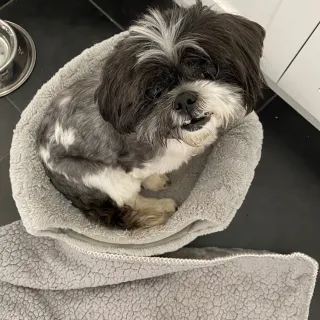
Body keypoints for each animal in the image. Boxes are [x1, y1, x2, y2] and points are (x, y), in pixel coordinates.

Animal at [36, 0, 264, 230]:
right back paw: (159, 208)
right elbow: (141, 178)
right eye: (155, 91)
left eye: (206, 71)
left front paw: (155, 180)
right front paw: (155, 184)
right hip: (102, 176)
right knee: (129, 200)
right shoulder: (131, 165)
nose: (184, 99)